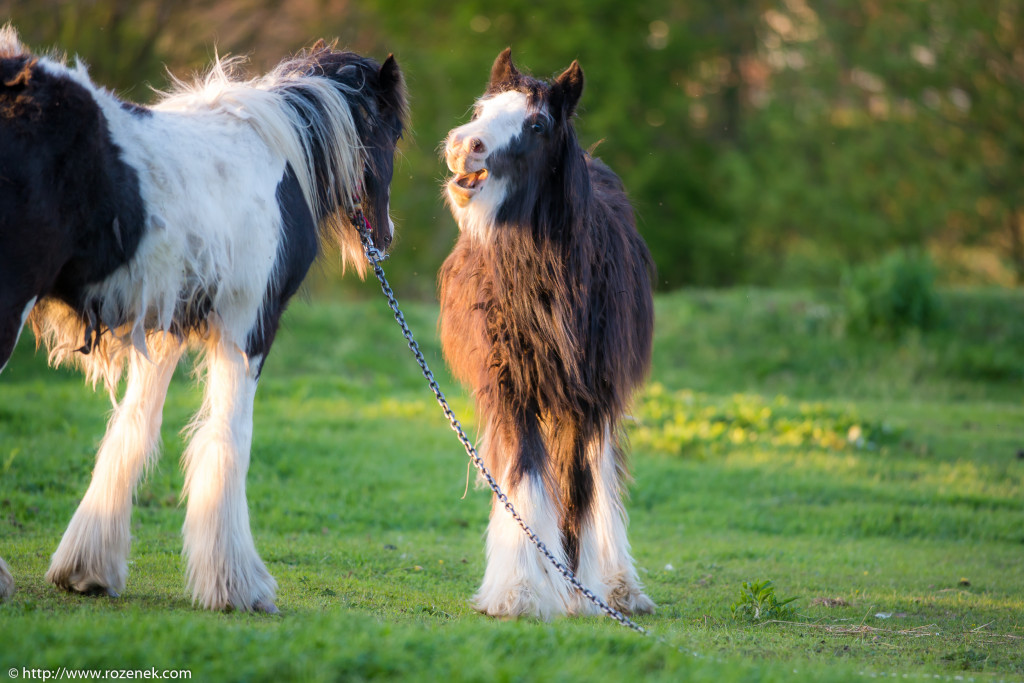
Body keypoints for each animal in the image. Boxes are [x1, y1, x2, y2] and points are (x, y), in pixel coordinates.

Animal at [0, 28, 407, 614]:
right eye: (393, 132)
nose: (387, 236)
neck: (278, 156)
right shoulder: (247, 329)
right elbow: (228, 437)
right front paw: (239, 587)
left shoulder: (166, 327)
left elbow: (133, 428)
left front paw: (88, 570)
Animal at [440, 49, 655, 618]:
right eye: (481, 109)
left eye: (536, 124)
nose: (463, 146)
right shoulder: (511, 386)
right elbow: (525, 475)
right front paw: (520, 591)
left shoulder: (589, 395)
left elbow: (579, 487)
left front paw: (580, 589)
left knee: (600, 476)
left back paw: (619, 585)